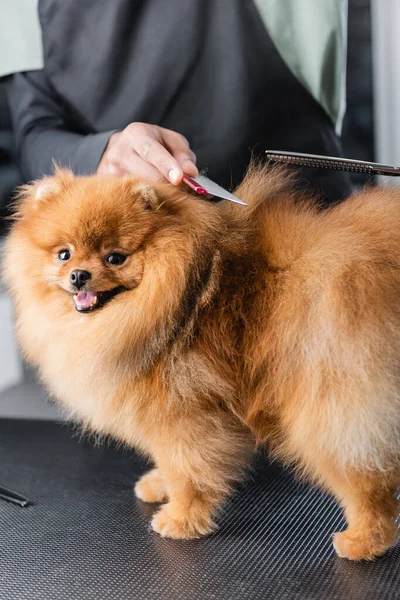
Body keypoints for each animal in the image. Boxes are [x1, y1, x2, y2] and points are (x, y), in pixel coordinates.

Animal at [3, 163, 400, 556]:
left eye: (115, 257)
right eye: (63, 254)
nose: (78, 275)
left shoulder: (186, 412)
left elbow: (189, 471)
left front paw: (181, 519)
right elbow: (167, 460)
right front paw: (158, 484)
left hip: (330, 402)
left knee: (366, 478)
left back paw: (363, 540)